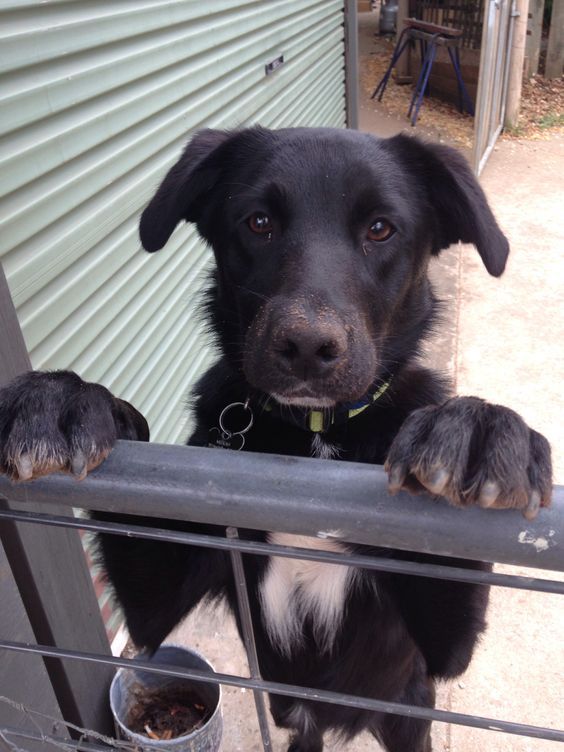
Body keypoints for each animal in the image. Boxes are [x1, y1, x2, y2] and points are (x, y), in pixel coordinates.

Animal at [0, 129, 552, 752]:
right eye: (258, 221)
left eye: (380, 228)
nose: (307, 347)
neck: (315, 436)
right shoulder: (153, 608)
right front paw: (61, 399)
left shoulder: (441, 651)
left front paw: (481, 429)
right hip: (292, 709)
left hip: (408, 709)